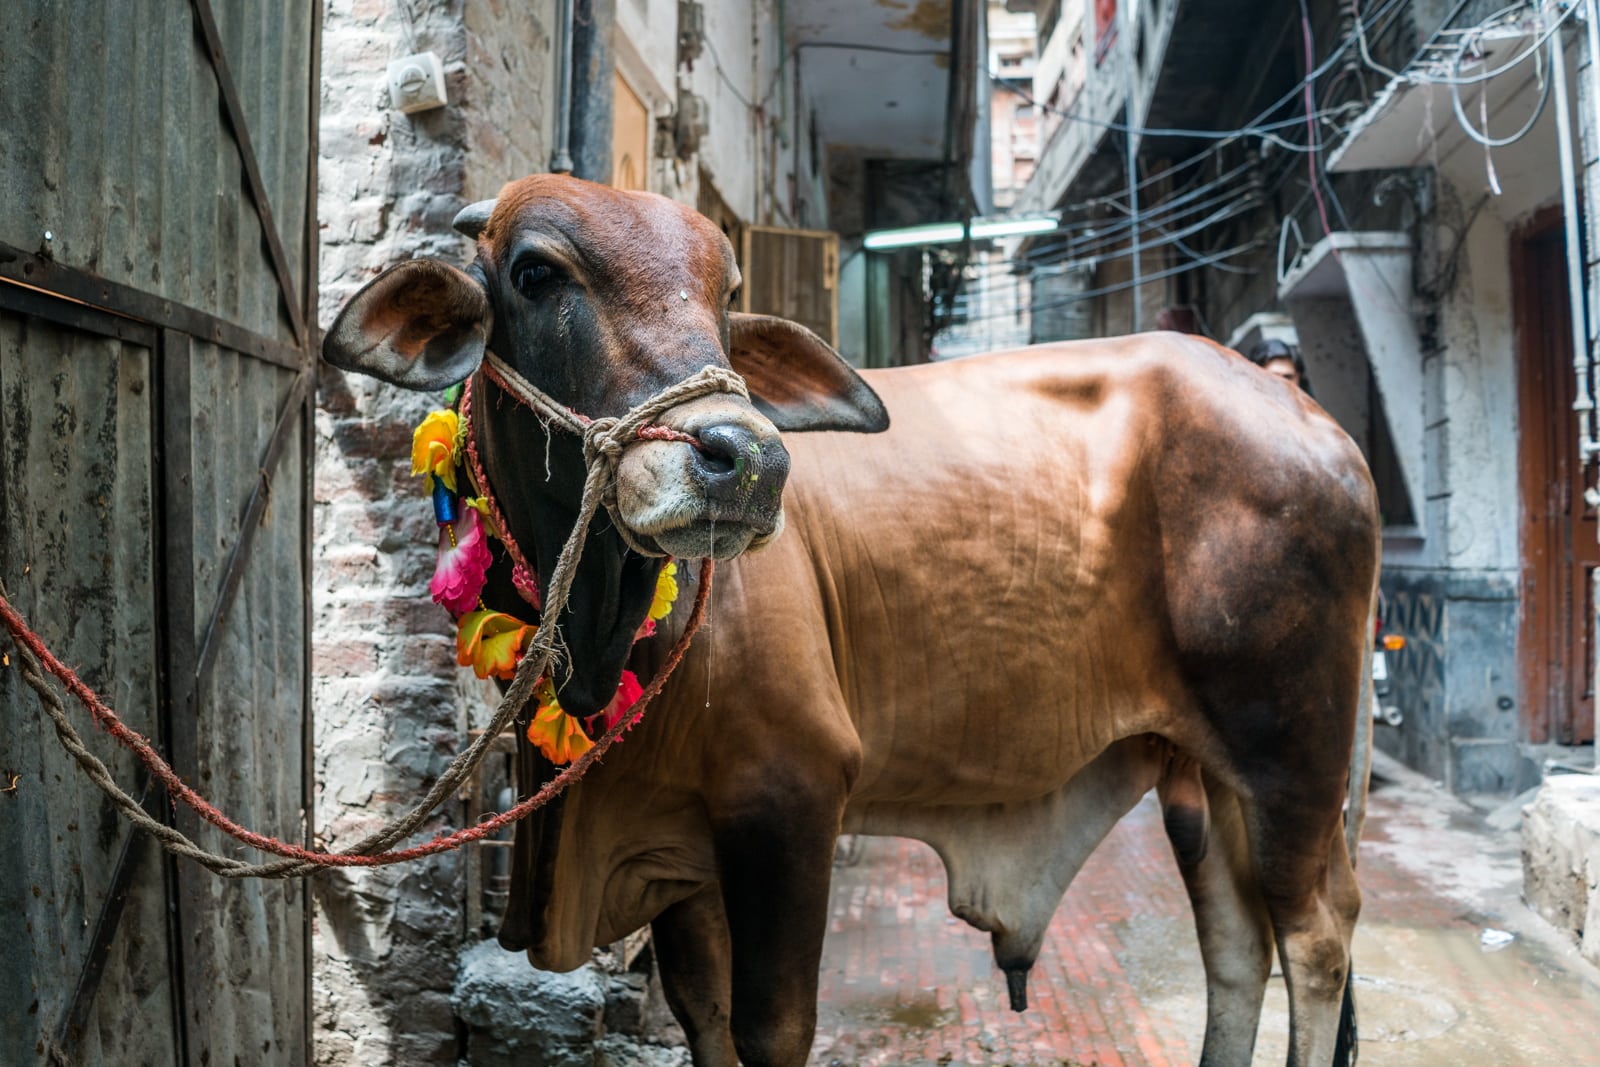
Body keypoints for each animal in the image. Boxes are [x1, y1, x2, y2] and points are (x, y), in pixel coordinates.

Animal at [321, 175, 1376, 1067]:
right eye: (536, 272)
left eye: (725, 292)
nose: (746, 460)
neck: (602, 633)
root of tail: (1313, 420)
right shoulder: (685, 855)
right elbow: (705, 1013)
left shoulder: (790, 794)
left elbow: (772, 1027)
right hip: (1204, 770)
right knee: (1236, 941)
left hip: (1293, 753)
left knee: (1316, 938)